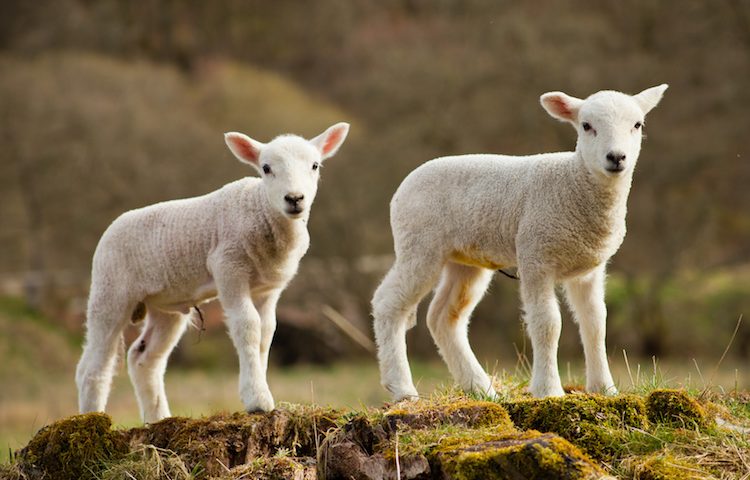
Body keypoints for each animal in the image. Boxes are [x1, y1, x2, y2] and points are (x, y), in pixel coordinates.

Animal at [75, 122, 352, 422]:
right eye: (266, 168)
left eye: (315, 165)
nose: (294, 198)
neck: (261, 211)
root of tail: (111, 229)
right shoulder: (228, 268)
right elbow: (248, 325)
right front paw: (257, 399)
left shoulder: (268, 288)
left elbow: (266, 331)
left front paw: (261, 389)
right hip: (110, 289)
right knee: (93, 366)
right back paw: (89, 419)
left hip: (166, 307)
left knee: (143, 358)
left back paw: (158, 419)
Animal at [374, 84, 672, 400]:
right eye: (586, 125)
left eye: (637, 124)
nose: (616, 157)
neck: (573, 183)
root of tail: (403, 186)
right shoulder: (536, 257)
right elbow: (547, 324)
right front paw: (549, 390)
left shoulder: (589, 269)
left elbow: (595, 322)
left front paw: (604, 389)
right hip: (419, 244)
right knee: (387, 304)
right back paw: (402, 388)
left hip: (465, 259)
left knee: (444, 318)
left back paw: (482, 389)